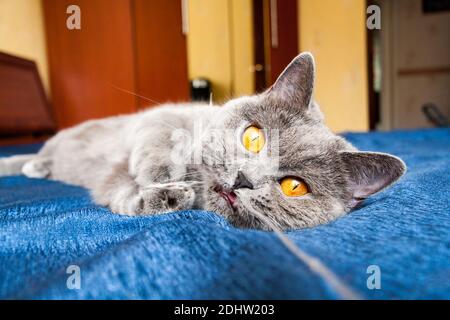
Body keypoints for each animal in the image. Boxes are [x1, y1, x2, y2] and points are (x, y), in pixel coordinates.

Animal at [0, 53, 406, 231]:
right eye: (253, 137)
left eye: (294, 187)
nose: (244, 178)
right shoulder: (166, 117)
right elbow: (158, 133)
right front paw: (161, 174)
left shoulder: (113, 186)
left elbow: (121, 196)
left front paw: (166, 197)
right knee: (35, 154)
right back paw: (30, 164)